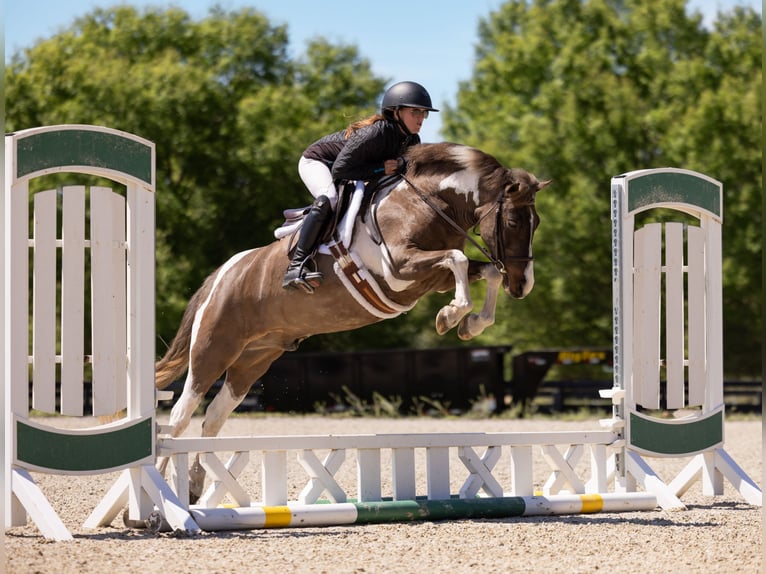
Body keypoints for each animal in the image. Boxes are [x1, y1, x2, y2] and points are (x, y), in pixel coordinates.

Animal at [155, 142, 550, 500]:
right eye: (514, 221)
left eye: (537, 223)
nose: (523, 285)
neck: (428, 204)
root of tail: (221, 275)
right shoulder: (399, 269)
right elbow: (457, 258)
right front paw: (450, 316)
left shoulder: (427, 279)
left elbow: (482, 270)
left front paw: (468, 324)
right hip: (213, 348)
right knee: (179, 415)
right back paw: (165, 489)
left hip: (252, 361)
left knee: (213, 417)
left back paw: (194, 485)